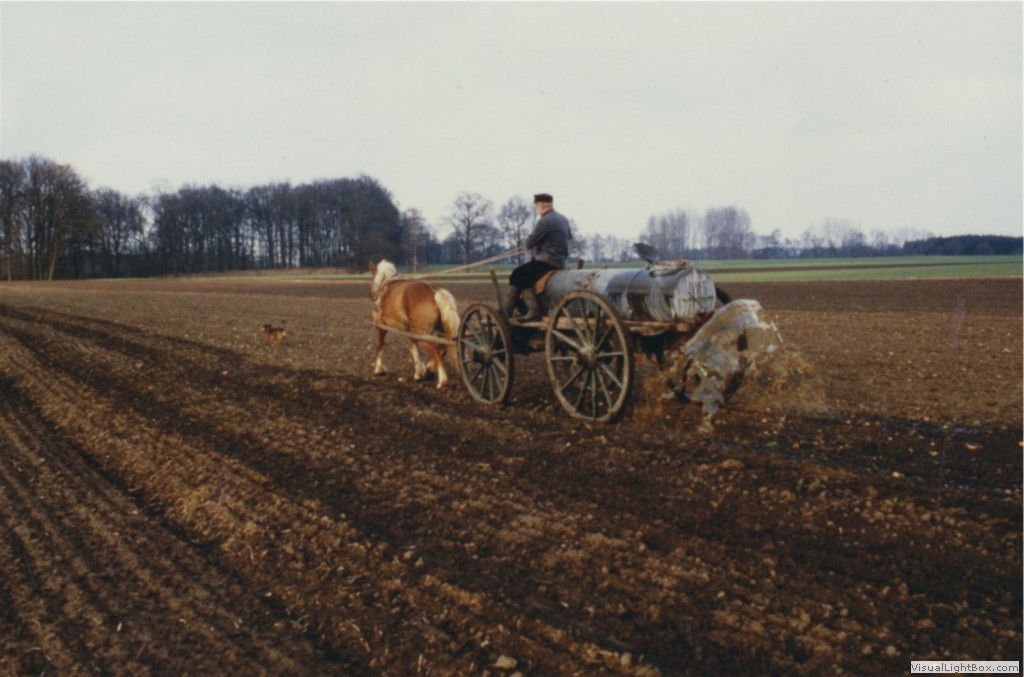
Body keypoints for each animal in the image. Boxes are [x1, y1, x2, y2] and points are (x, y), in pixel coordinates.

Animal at [370, 260, 460, 388]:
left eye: (372, 279)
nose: (372, 295)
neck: (385, 287)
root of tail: (435, 291)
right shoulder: (411, 332)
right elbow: (413, 349)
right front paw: (419, 372)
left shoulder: (380, 326)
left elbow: (379, 345)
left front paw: (378, 369)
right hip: (439, 332)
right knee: (443, 348)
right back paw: (429, 369)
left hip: (424, 335)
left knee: (436, 351)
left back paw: (442, 381)